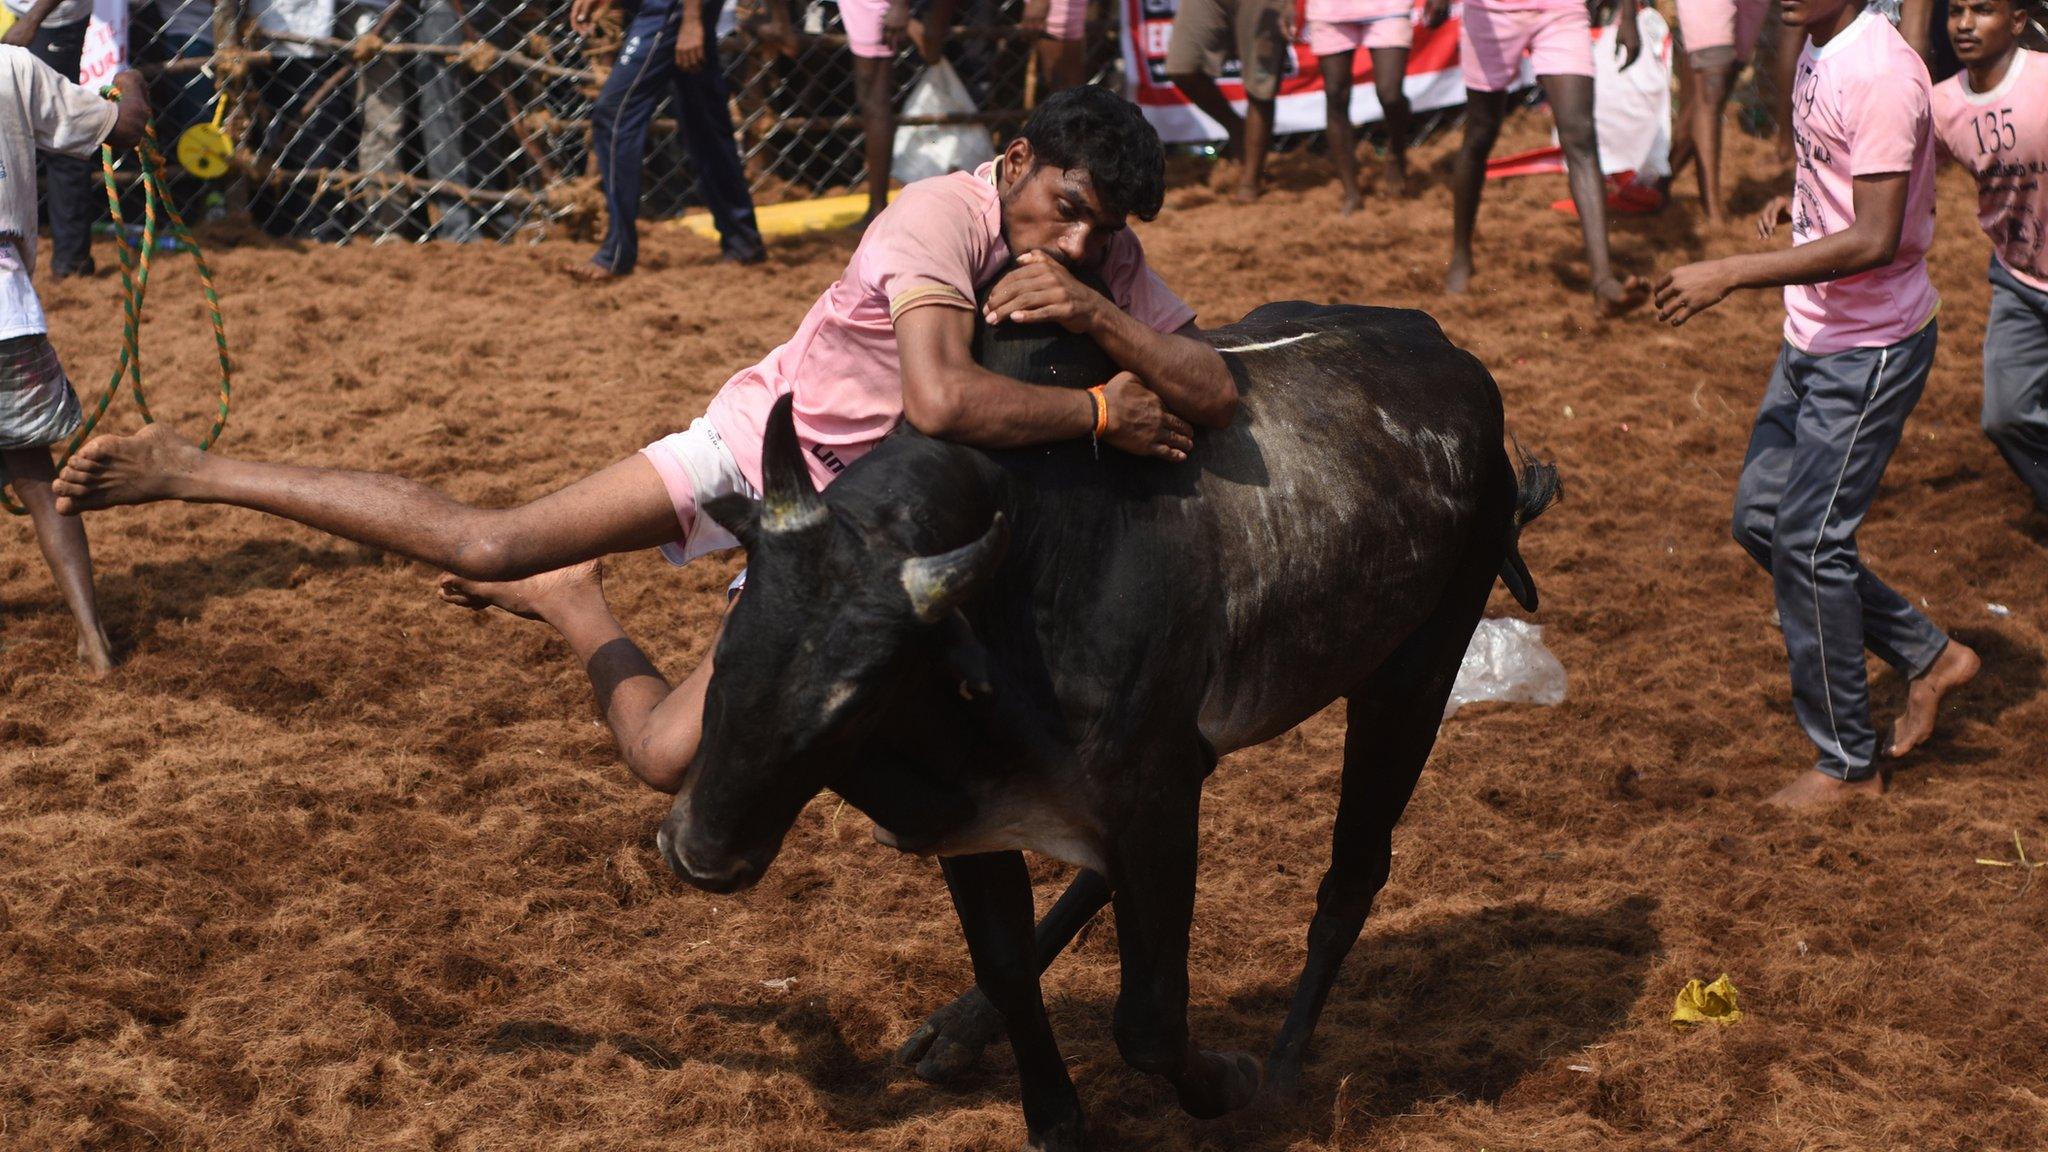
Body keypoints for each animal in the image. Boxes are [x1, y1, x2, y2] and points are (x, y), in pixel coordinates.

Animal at [655, 301, 1548, 1139]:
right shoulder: (983, 817)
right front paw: (1054, 1118)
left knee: (1354, 875)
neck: (1029, 575)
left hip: (1413, 673)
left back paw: (1287, 1073)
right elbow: (1009, 964)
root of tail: (1447, 350)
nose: (698, 854)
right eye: (729, 645)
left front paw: (1232, 1082)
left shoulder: (1153, 797)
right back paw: (958, 1029)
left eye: (861, 696)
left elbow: (1149, 1020)